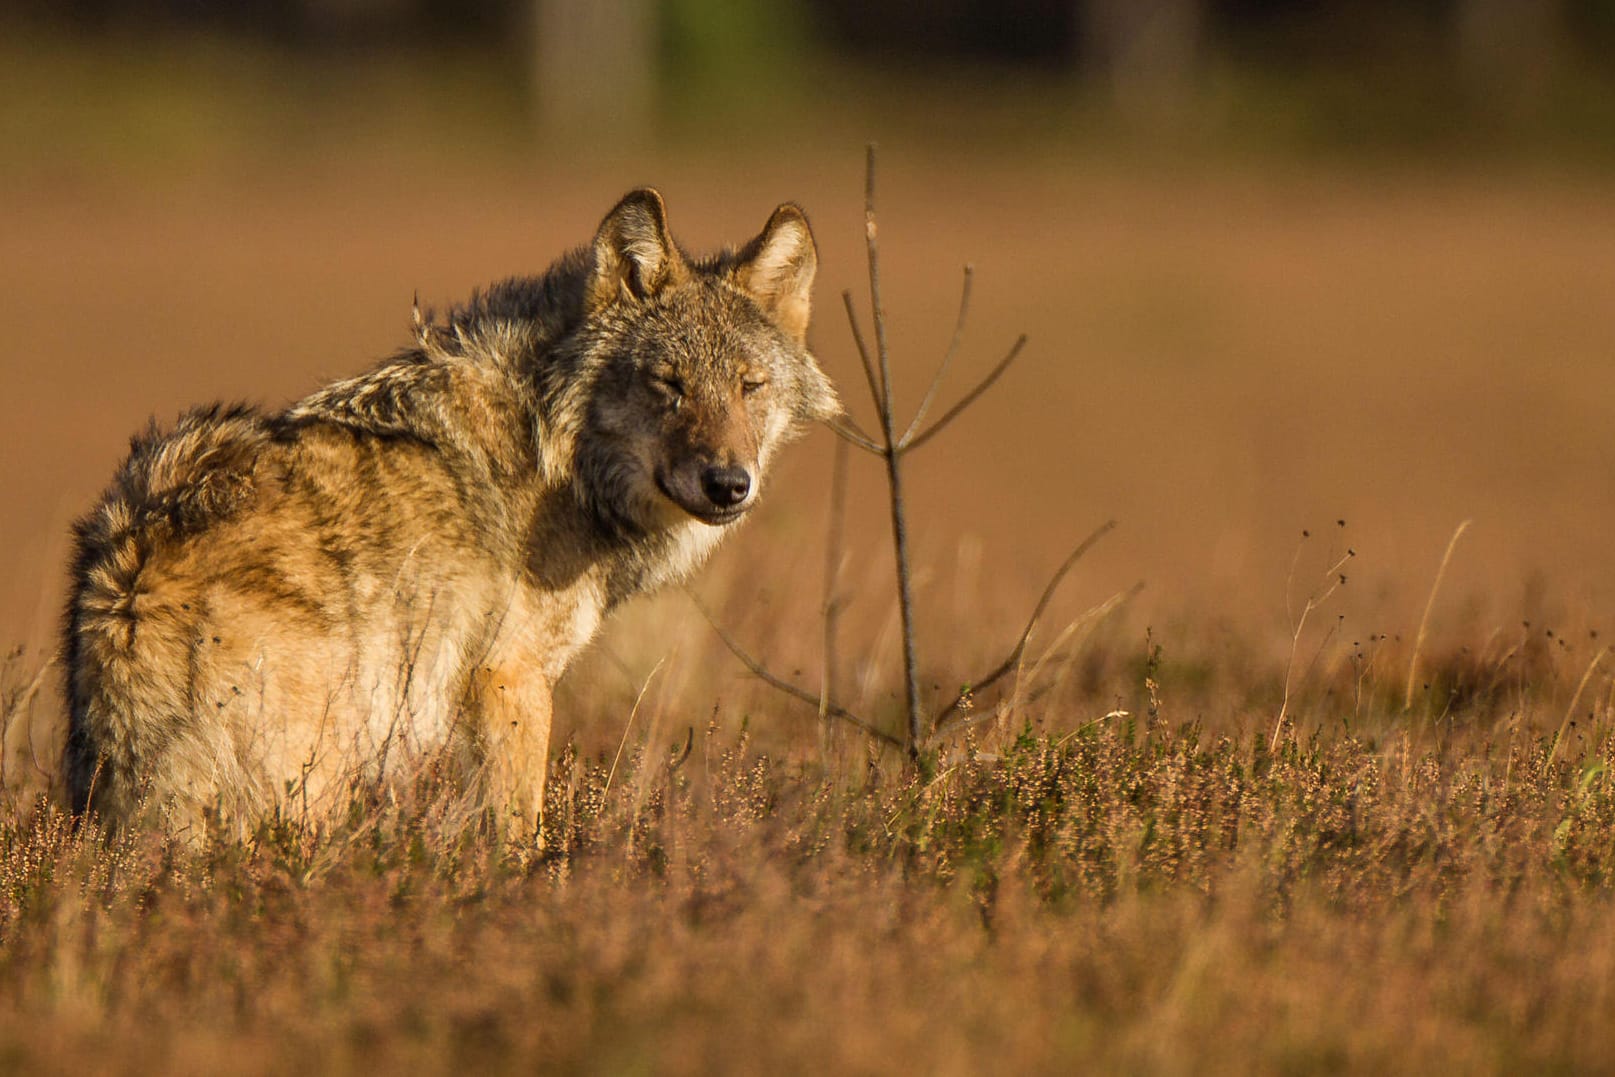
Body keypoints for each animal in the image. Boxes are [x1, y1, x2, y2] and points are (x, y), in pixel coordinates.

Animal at [59, 189, 846, 839]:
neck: (559, 448)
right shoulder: (508, 679)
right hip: (316, 772)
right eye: (669, 384)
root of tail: (129, 573)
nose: (728, 483)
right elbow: (518, 834)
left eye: (749, 387)